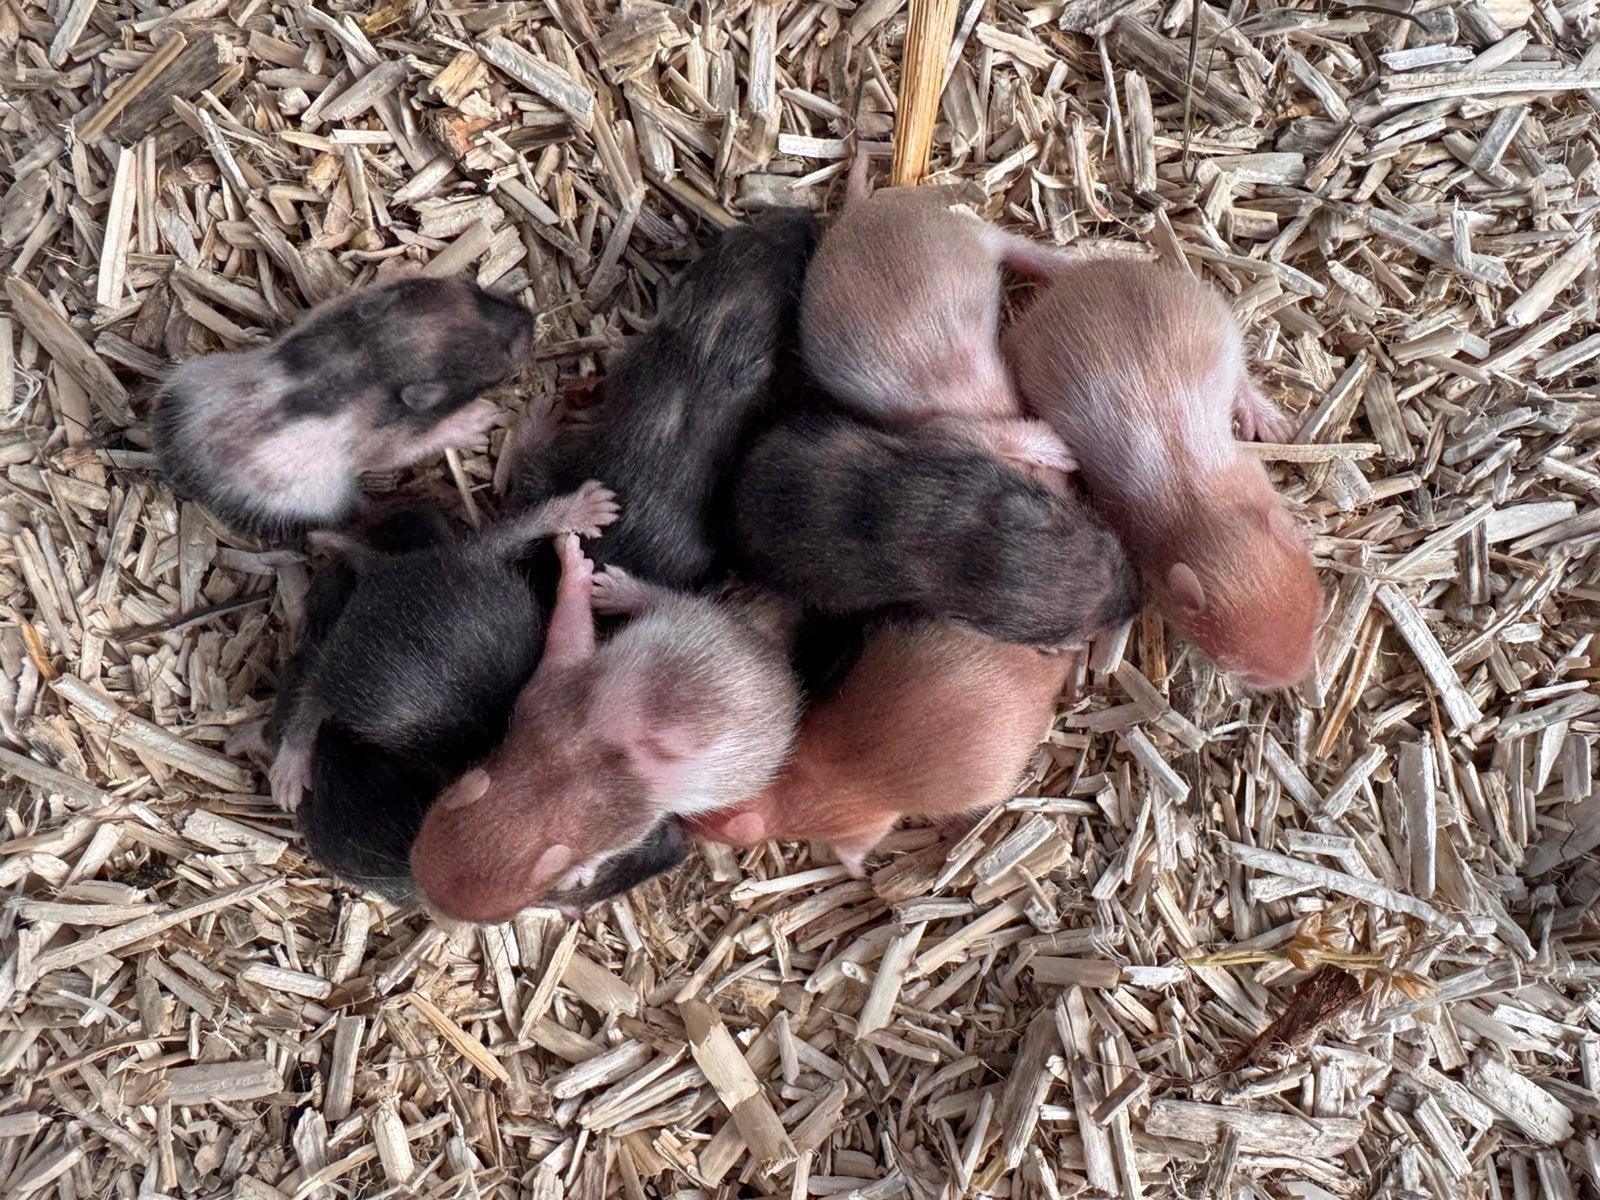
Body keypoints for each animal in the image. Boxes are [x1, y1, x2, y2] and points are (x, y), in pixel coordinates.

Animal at [153, 275, 532, 540]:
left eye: (476, 288)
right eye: (500, 367)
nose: (530, 317)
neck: (373, 357)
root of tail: (189, 478)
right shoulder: (386, 445)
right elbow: (409, 448)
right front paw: (479, 418)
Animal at [409, 535, 802, 924]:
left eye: (496, 920)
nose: (431, 910)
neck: (557, 778)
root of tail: (770, 653)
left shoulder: (628, 821)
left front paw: (577, 871)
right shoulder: (545, 702)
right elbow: (569, 639)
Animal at [688, 620, 1072, 876]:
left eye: (698, 820)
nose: (681, 828)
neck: (785, 782)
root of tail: (1043, 678)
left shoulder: (860, 828)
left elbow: (854, 853)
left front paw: (860, 874)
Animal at [1002, 257, 1322, 689]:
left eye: (1316, 619)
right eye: (1241, 671)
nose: (1295, 677)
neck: (1203, 509)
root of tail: (1080, 273)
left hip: (1222, 329)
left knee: (1240, 377)